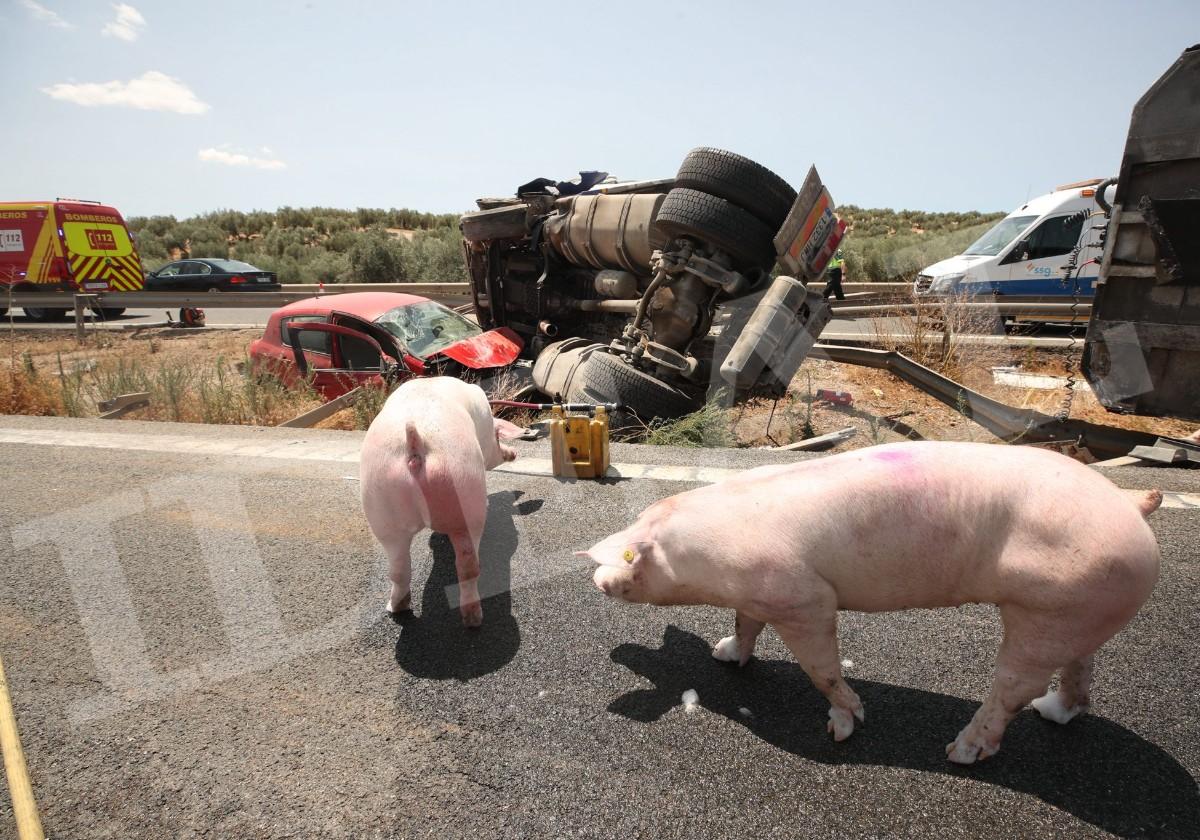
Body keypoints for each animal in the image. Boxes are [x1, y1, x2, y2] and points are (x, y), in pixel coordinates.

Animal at [357, 376, 523, 628]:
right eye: (497, 436)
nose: (513, 453)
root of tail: (415, 442)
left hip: (381, 502)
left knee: (398, 569)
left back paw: (396, 608)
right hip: (463, 484)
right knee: (467, 564)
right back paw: (474, 619)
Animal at [580, 444, 1161, 763]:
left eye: (631, 558)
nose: (596, 578)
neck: (703, 556)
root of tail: (1130, 505)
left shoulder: (803, 598)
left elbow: (822, 670)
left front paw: (845, 725)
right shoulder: (757, 595)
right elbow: (745, 626)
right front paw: (724, 656)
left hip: (1046, 610)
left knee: (1013, 689)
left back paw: (960, 752)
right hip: (1077, 609)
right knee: (1077, 669)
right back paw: (1054, 713)